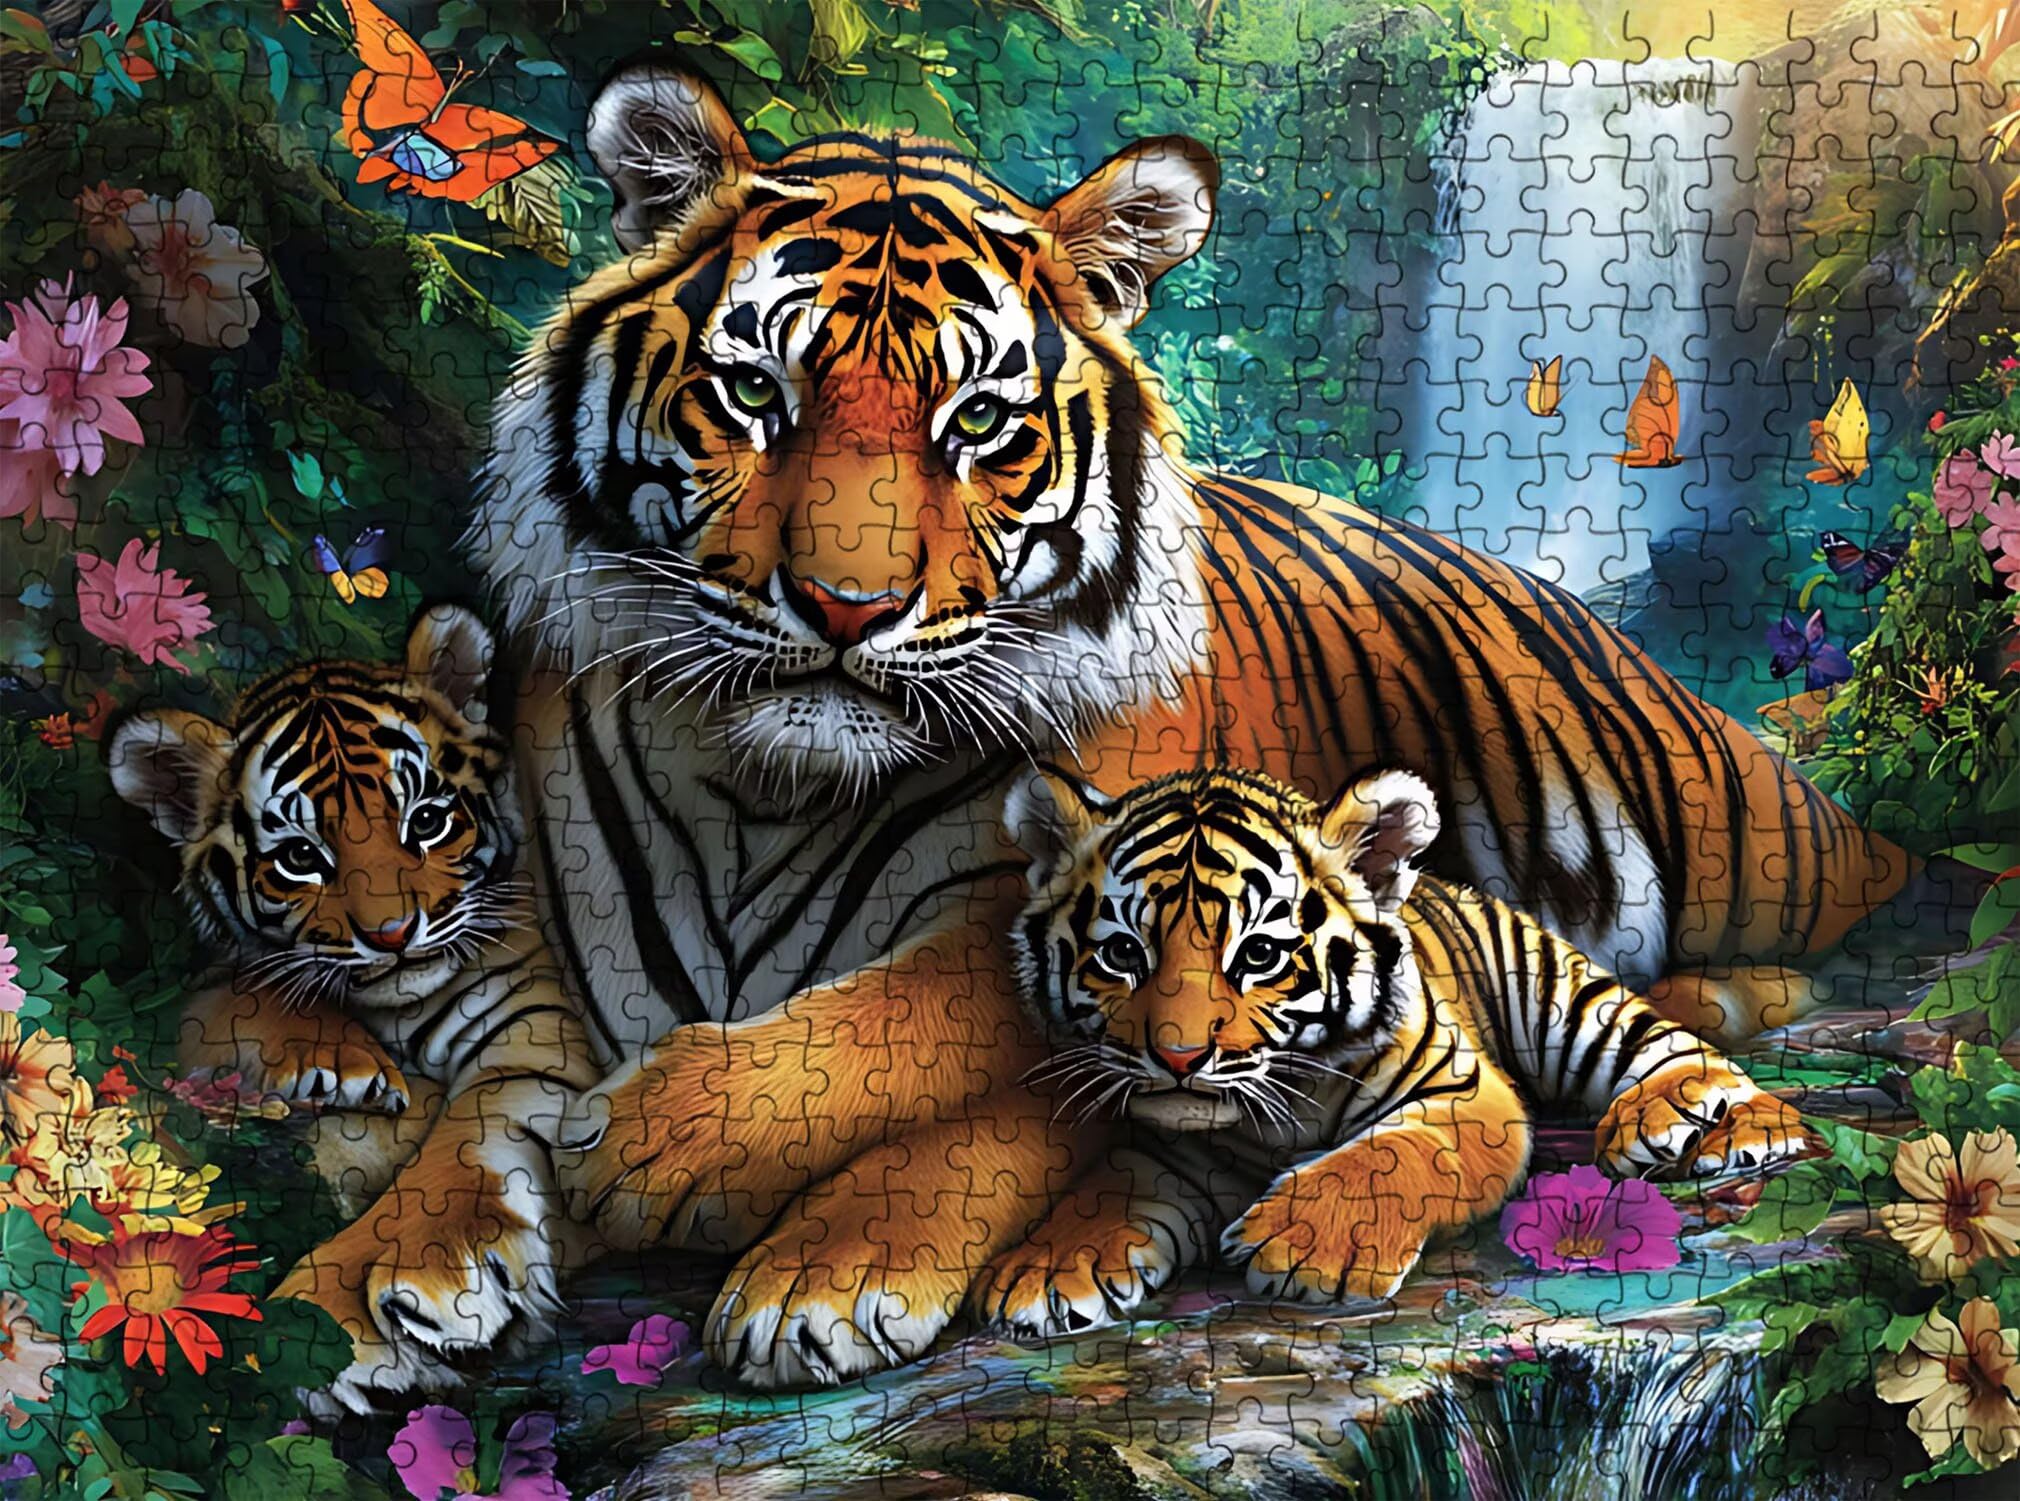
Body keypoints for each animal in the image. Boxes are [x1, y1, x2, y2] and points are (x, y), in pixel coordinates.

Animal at [107, 605, 600, 1413]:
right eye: (302, 858)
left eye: (427, 821)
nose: (393, 933)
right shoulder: (204, 987)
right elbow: (228, 996)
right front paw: (338, 1067)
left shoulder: (533, 1038)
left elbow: (456, 1151)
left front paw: (337, 1316)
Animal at [970, 764, 1809, 1334]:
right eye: (1122, 953)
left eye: (1259, 954)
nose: (1176, 1058)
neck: (1275, 1113)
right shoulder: (1164, 1149)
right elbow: (1105, 1190)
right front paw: (1045, 1270)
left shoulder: (1470, 1093)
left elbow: (1394, 1155)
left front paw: (1306, 1244)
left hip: (1558, 993)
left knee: (1676, 1047)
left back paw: (1721, 1128)